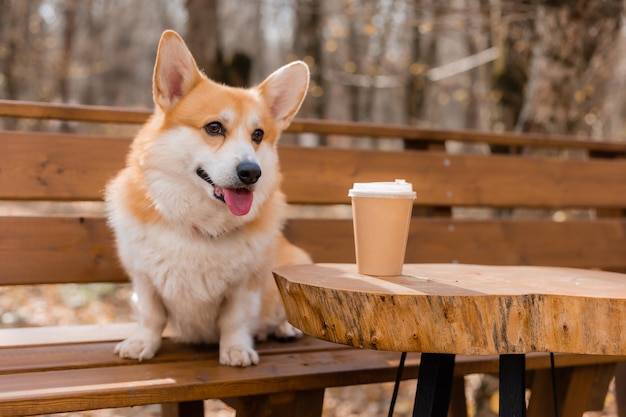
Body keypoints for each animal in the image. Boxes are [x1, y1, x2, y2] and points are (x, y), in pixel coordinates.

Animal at [108, 30, 312, 366]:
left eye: (258, 135)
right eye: (214, 127)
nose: (251, 173)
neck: (200, 223)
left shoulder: (245, 285)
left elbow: (234, 320)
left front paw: (235, 350)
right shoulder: (144, 280)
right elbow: (151, 317)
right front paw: (142, 344)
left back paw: (284, 328)